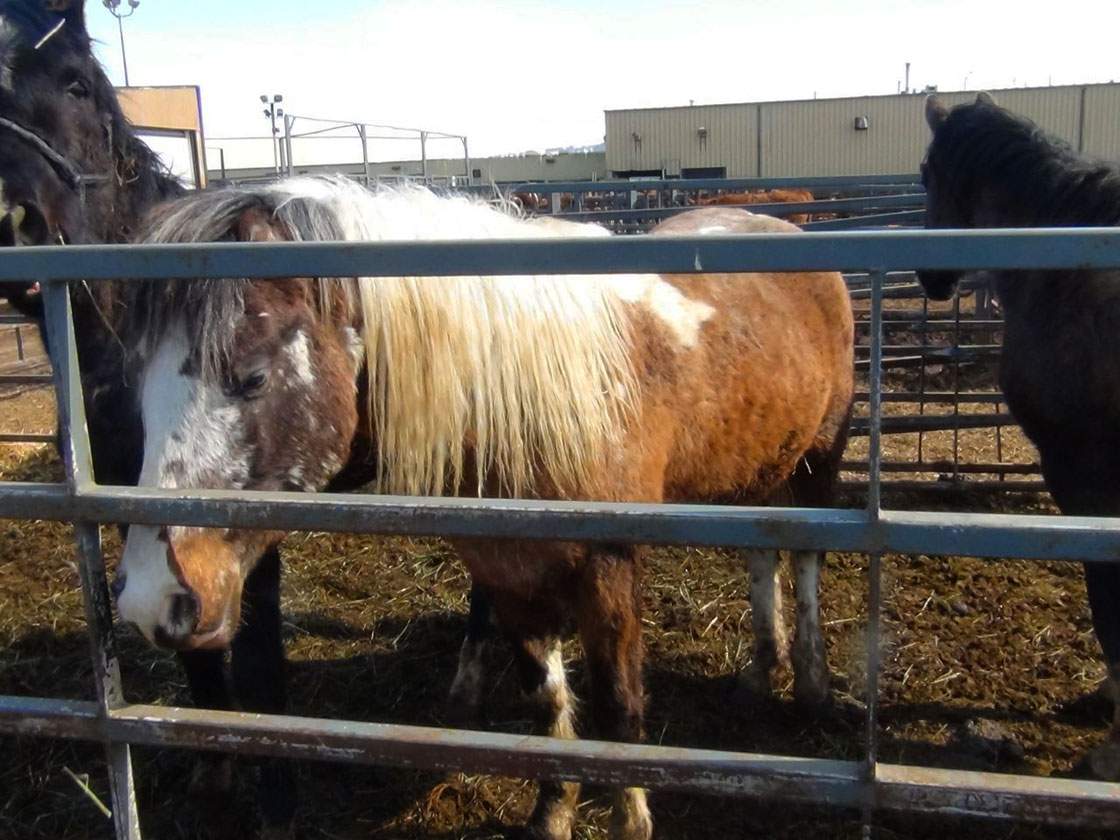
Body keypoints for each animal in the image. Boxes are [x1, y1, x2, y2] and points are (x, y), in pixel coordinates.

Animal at [110, 178, 854, 839]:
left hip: (819, 455)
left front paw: (630, 819)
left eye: (253, 377)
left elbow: (619, 703)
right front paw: (552, 812)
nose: (153, 600)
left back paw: (812, 683)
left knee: (807, 557)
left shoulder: (608, 571)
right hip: (759, 465)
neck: (535, 397)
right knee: (763, 547)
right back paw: (762, 669)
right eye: (135, 387)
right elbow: (547, 702)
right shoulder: (509, 572)